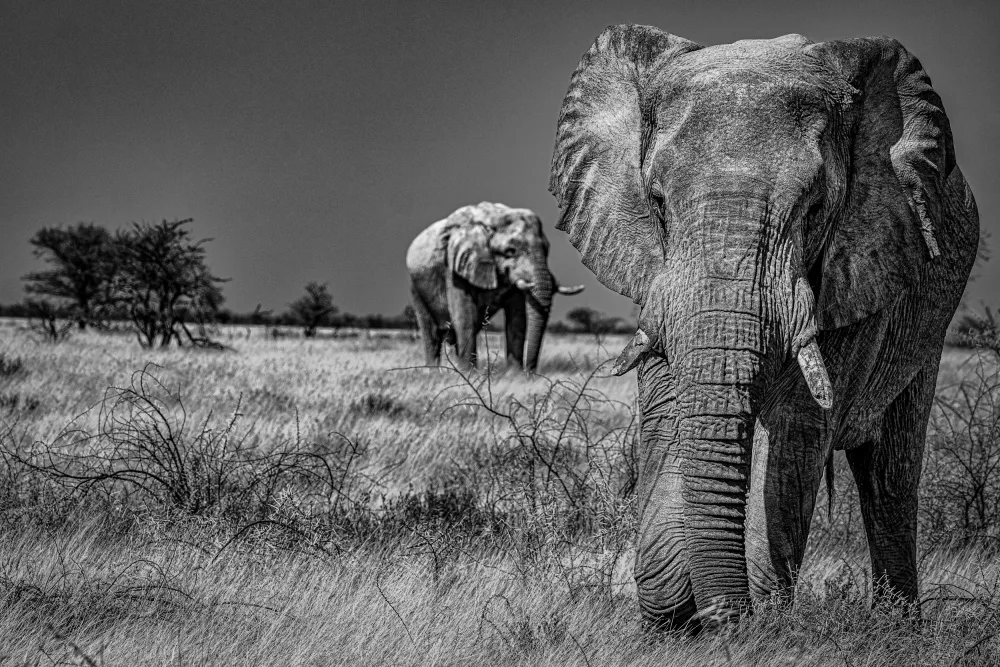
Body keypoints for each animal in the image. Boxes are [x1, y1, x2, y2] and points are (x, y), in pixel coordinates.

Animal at [406, 202, 584, 372]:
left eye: (547, 250)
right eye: (510, 251)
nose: (530, 372)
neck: (493, 219)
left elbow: (517, 319)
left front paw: (515, 376)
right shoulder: (455, 268)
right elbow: (465, 318)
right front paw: (470, 376)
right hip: (416, 286)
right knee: (432, 333)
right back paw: (437, 374)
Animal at [549, 26, 979, 629]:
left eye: (815, 205)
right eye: (657, 201)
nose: (723, 619)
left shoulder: (853, 271)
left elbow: (793, 434)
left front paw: (754, 622)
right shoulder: (658, 286)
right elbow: (669, 424)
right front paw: (675, 614)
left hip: (928, 322)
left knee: (888, 477)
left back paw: (897, 629)